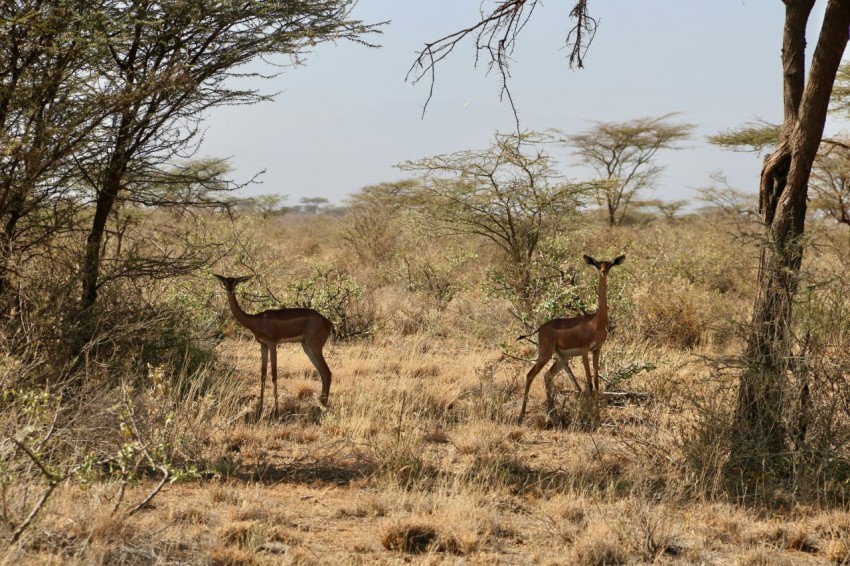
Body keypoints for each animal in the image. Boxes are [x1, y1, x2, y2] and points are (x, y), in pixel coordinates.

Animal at [517, 254, 625, 423]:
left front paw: (597, 415)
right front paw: (592, 416)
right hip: (546, 353)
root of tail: (541, 327)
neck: (596, 322)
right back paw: (521, 416)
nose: (603, 272)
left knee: (547, 375)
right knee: (530, 375)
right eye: (597, 265)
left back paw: (552, 413)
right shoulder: (585, 350)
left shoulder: (597, 350)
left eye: (609, 265)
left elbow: (596, 382)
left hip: (563, 357)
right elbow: (589, 382)